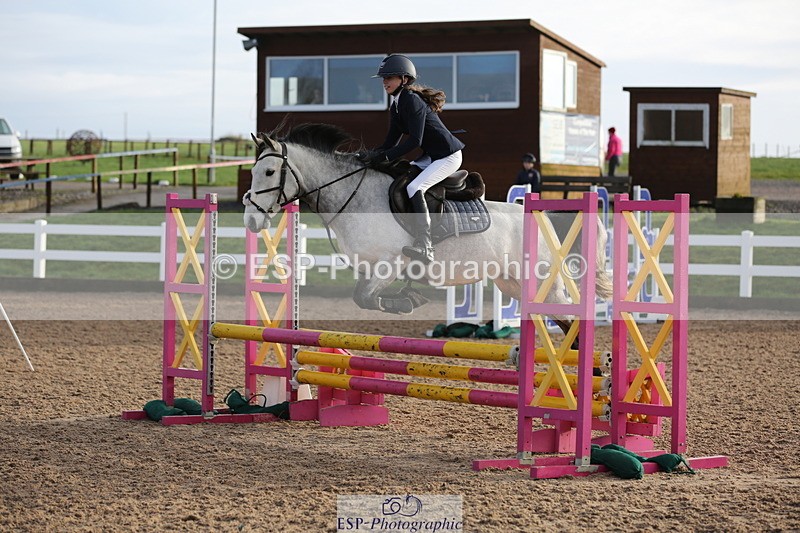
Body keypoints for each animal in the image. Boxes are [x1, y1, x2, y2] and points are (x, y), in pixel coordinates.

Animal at [242, 123, 612, 328]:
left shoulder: (390, 264)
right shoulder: (369, 268)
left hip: (543, 284)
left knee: (570, 320)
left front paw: (406, 302)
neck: (353, 195)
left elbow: (366, 299)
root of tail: (546, 218)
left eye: (270, 172)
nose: (251, 219)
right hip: (514, 285)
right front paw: (409, 298)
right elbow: (362, 297)